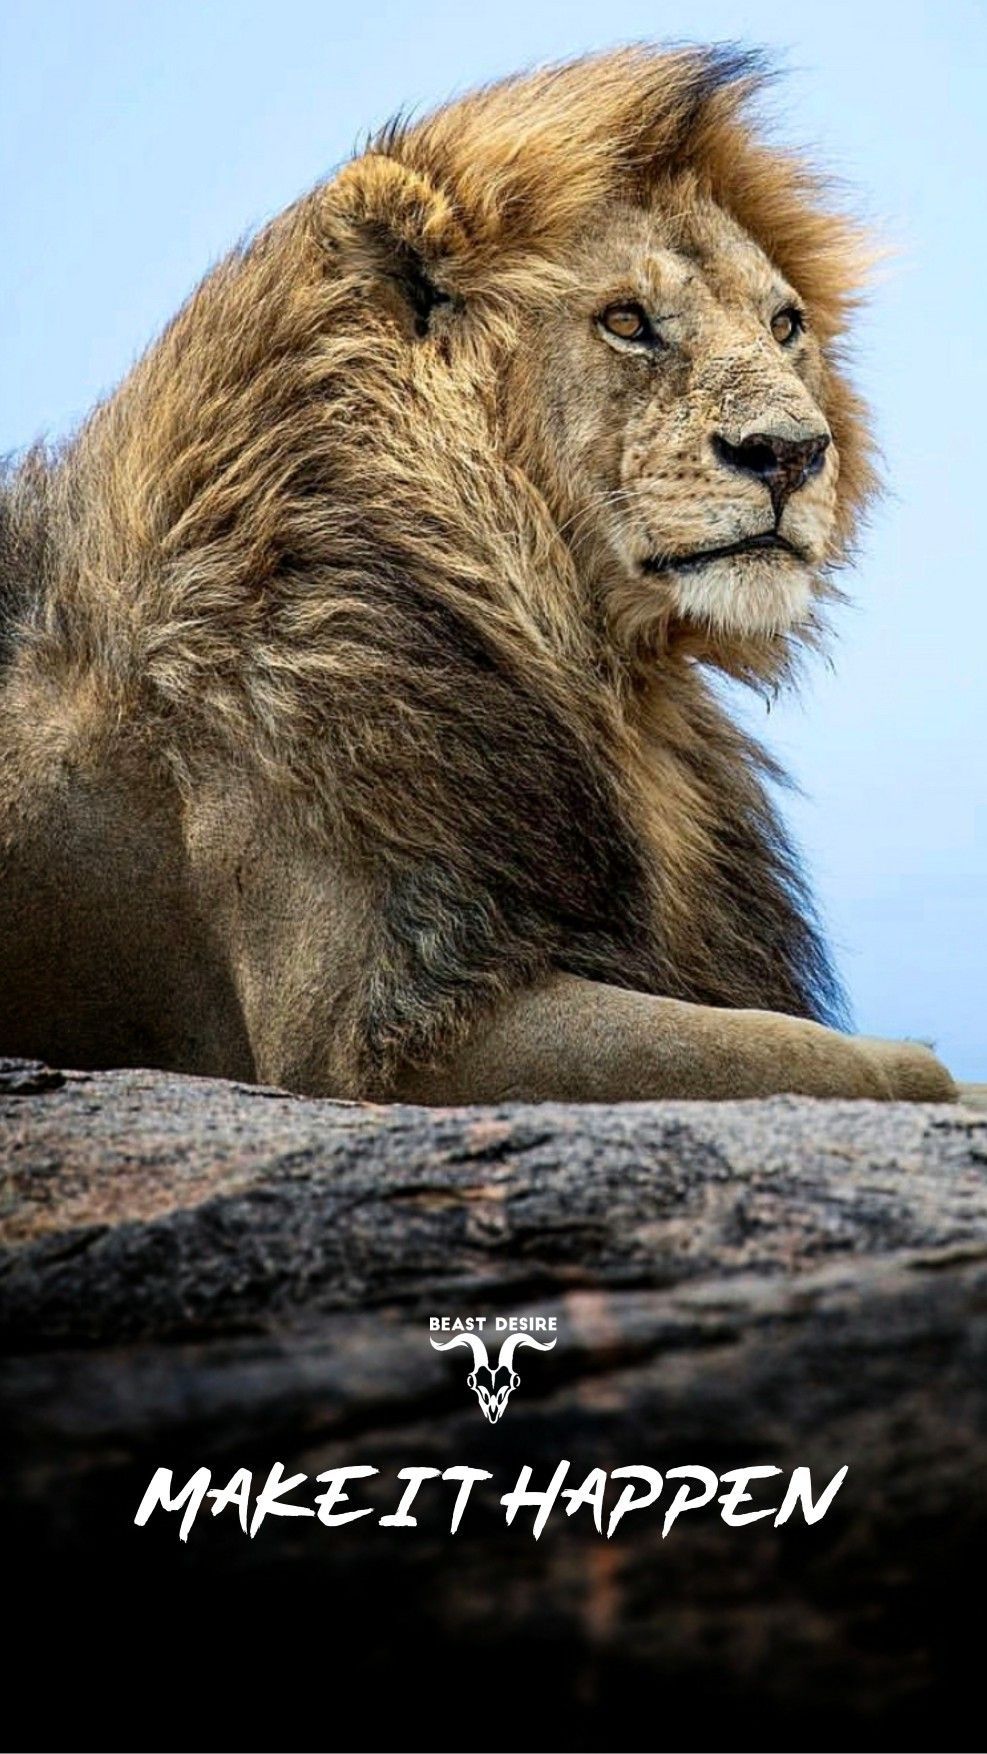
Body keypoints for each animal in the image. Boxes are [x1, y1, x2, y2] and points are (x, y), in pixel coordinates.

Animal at [0, 46, 955, 1104]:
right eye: (627, 321)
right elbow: (824, 1057)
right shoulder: (370, 1034)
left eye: (784, 325)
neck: (599, 674)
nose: (789, 453)